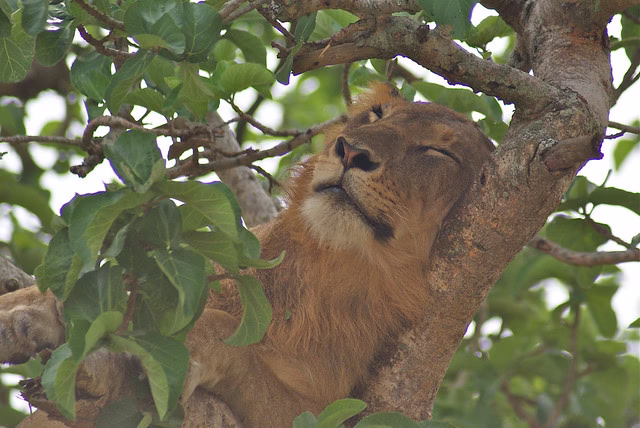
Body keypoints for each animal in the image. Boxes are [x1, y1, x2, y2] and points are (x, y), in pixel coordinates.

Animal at [0, 84, 494, 427]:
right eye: (374, 116)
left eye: (437, 152)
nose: (351, 150)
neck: (325, 263)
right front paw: (27, 320)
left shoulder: (322, 408)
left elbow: (229, 337)